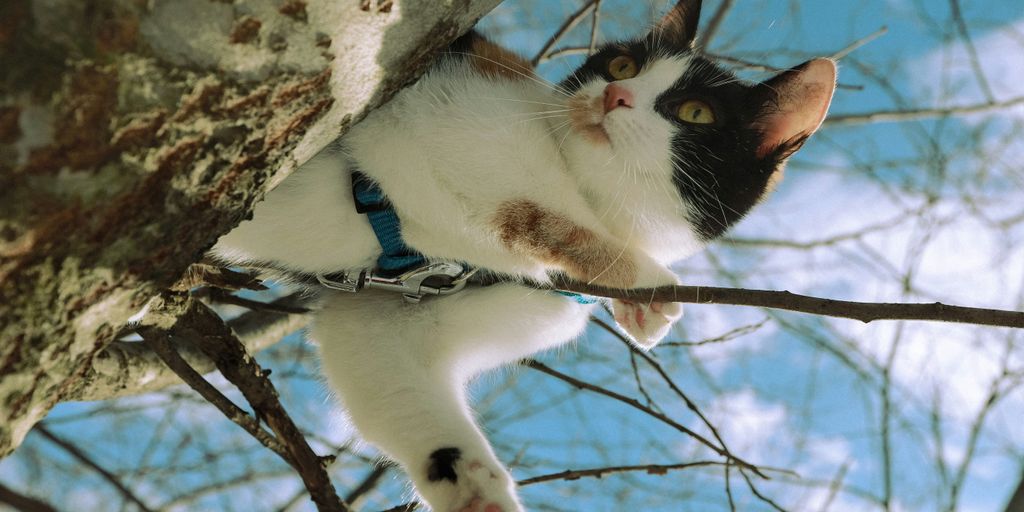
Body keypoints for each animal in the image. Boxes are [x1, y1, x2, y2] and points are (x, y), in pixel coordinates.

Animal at [209, 2, 839, 509]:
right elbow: (531, 215)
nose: (613, 95)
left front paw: (475, 491)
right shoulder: (438, 116)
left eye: (696, 114)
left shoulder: (383, 317)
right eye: (622, 66)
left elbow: (380, 363)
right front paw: (647, 283)